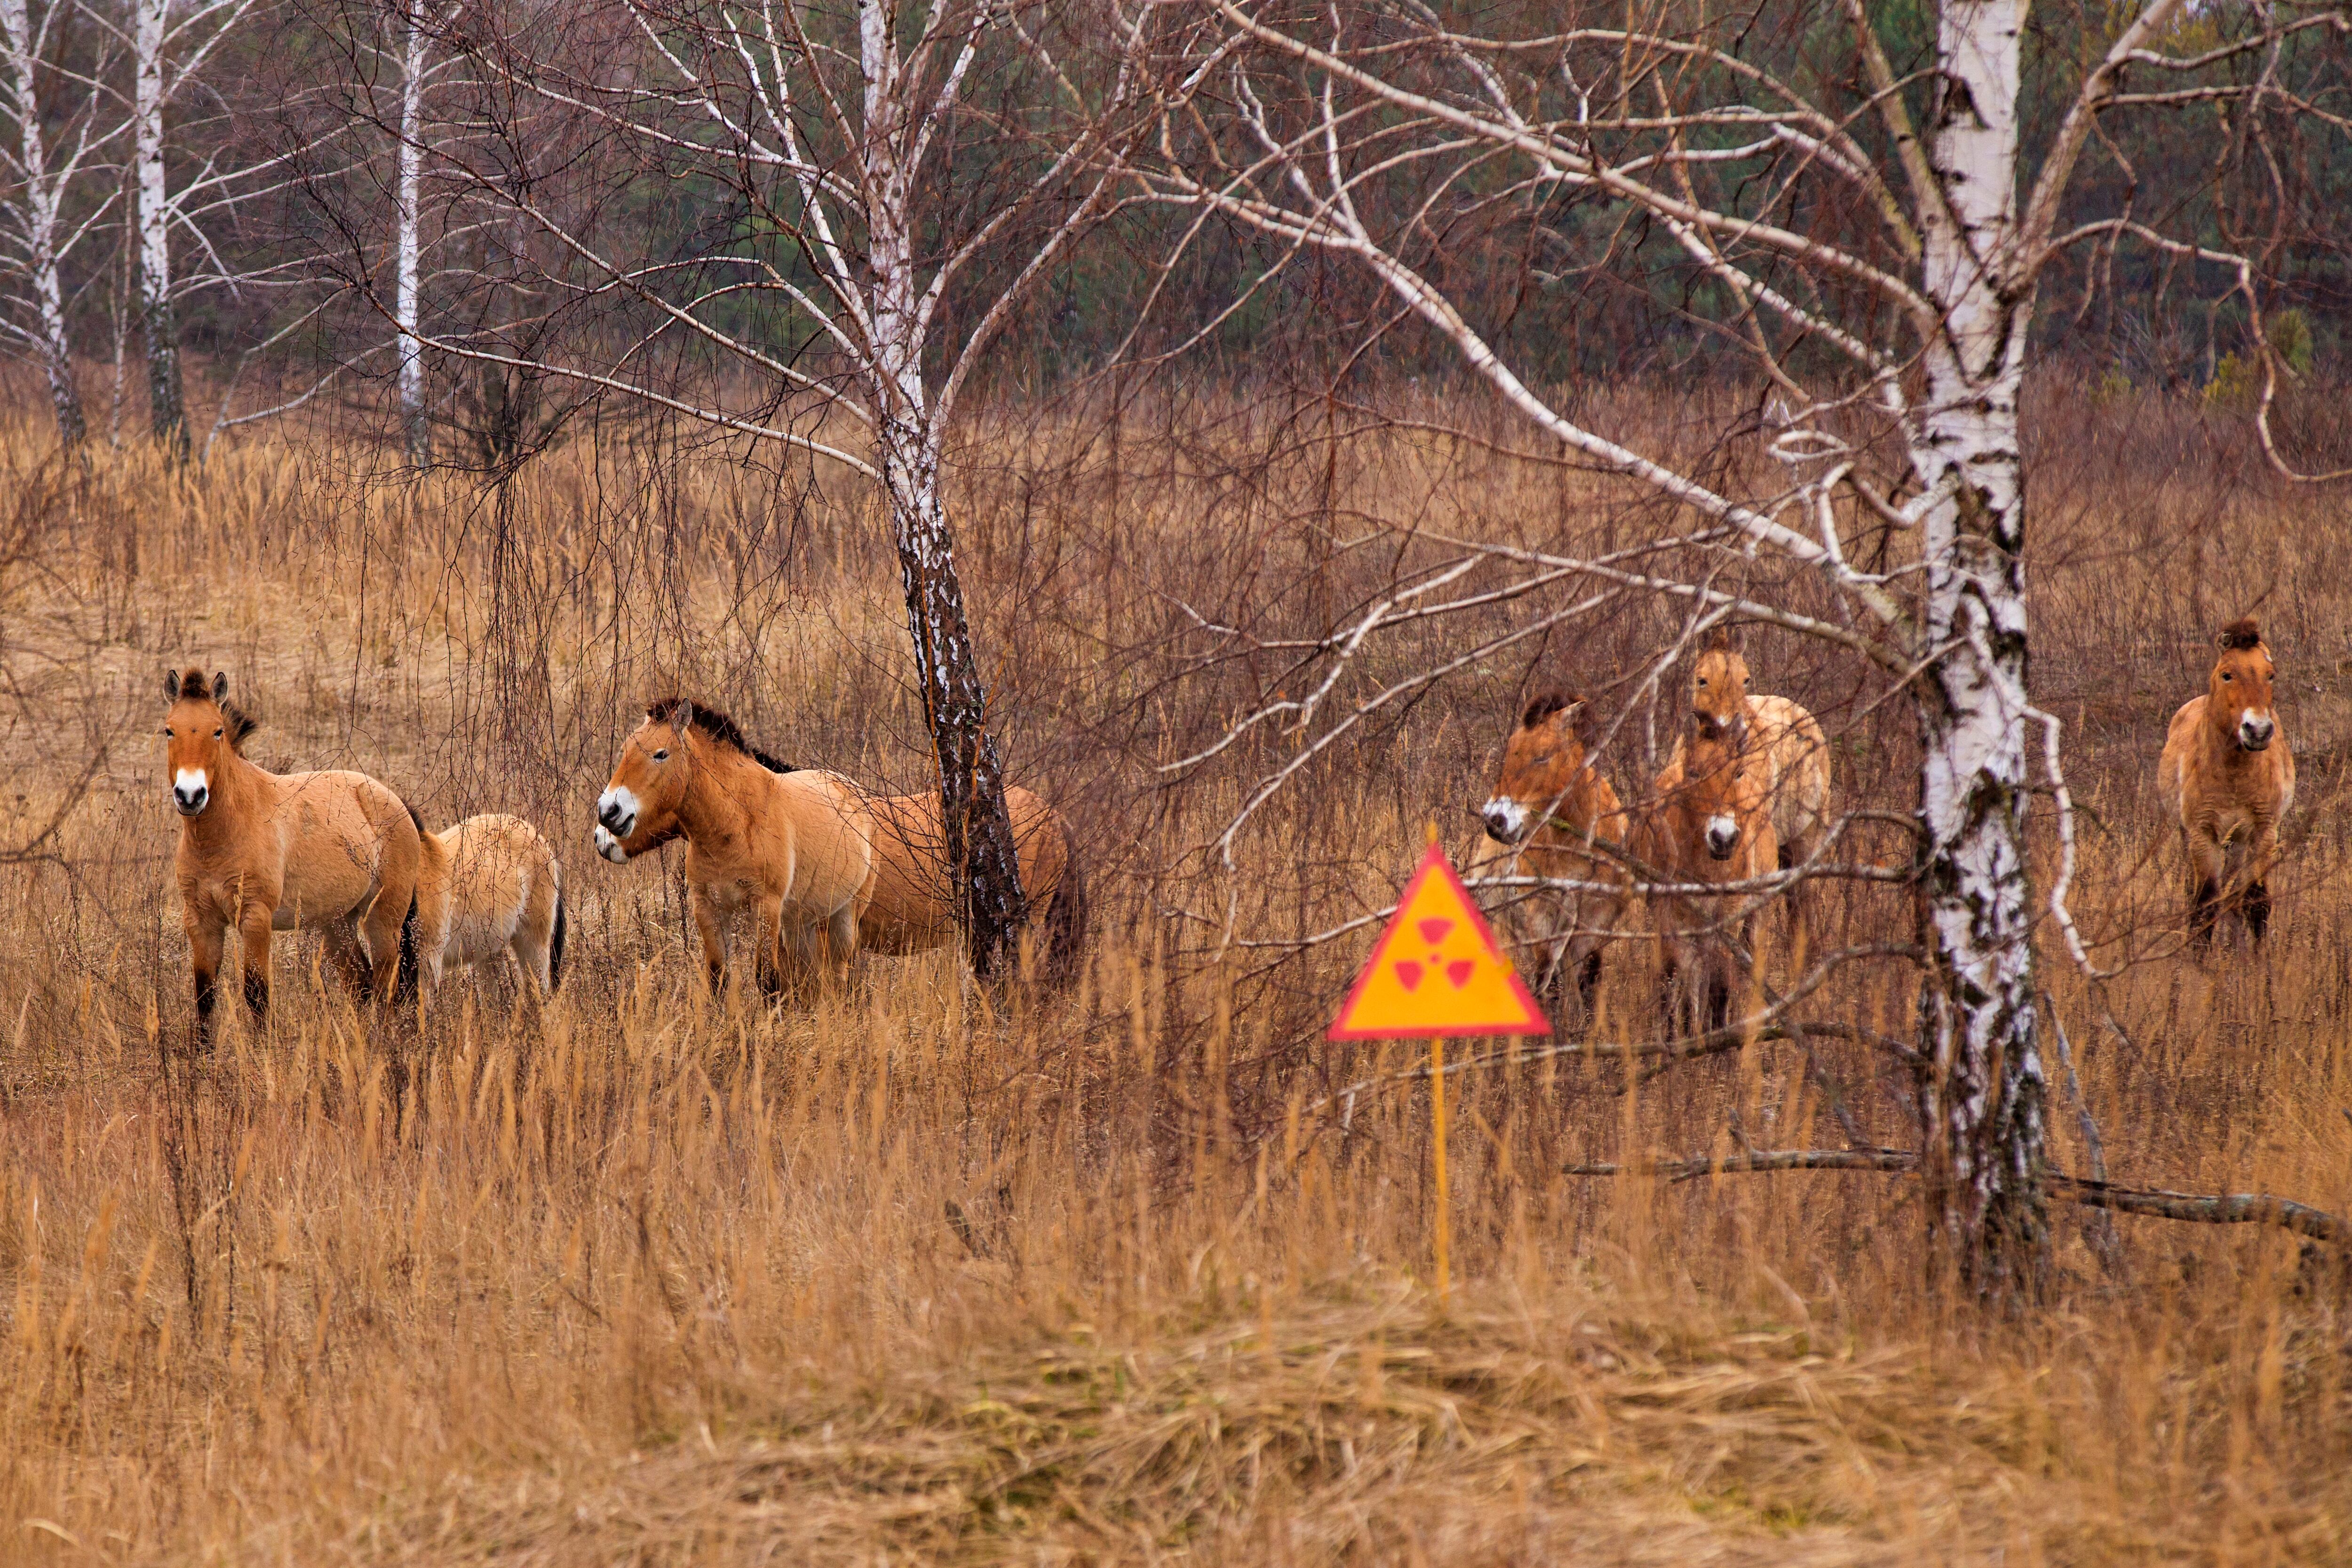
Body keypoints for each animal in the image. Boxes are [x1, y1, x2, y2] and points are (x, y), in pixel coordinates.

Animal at [161, 668, 424, 1041]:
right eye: (170, 730)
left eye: (218, 731)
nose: (190, 795)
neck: (218, 839)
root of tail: (398, 803)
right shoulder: (200, 920)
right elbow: (204, 997)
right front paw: (202, 1056)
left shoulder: (256, 917)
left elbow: (256, 993)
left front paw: (262, 1052)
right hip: (336, 924)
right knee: (362, 983)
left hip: (383, 919)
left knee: (388, 983)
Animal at [594, 699, 873, 996]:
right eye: (625, 750)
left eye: (661, 754)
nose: (608, 813)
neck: (734, 824)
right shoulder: (708, 909)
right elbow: (717, 979)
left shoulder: (765, 908)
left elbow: (767, 981)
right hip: (800, 924)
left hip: (845, 918)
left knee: (841, 974)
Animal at [1471, 691, 1631, 1023]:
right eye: (1510, 750)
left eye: (1543, 756)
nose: (1495, 821)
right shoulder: (1541, 913)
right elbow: (1547, 978)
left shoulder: (1595, 918)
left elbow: (1586, 978)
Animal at [1638, 727, 1778, 1035]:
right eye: (1693, 772)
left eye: (1737, 772)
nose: (1723, 839)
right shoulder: (1670, 919)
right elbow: (1672, 983)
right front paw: (1678, 1040)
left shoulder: (1727, 918)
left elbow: (1720, 985)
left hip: (1757, 918)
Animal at [2159, 616, 2295, 945]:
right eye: (2227, 675)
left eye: (2271, 675)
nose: (2258, 731)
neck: (2235, 777)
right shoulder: (2202, 835)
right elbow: (2204, 906)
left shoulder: (2263, 833)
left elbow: (2256, 904)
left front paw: (2259, 960)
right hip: (2192, 835)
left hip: (2238, 842)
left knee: (2236, 897)